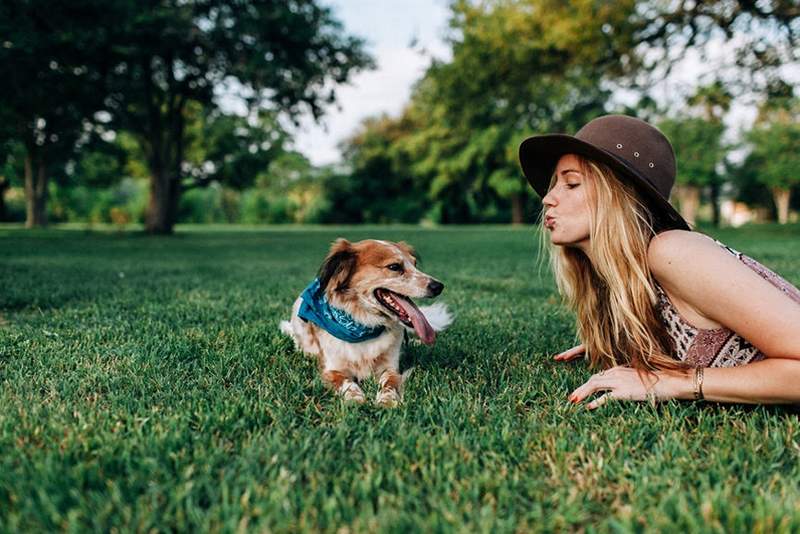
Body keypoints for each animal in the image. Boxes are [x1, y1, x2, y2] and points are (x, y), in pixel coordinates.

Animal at [278, 239, 450, 406]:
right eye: (394, 267)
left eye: (415, 264)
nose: (438, 286)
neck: (364, 324)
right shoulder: (332, 370)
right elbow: (347, 383)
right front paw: (355, 399)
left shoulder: (391, 368)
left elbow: (389, 383)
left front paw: (387, 400)